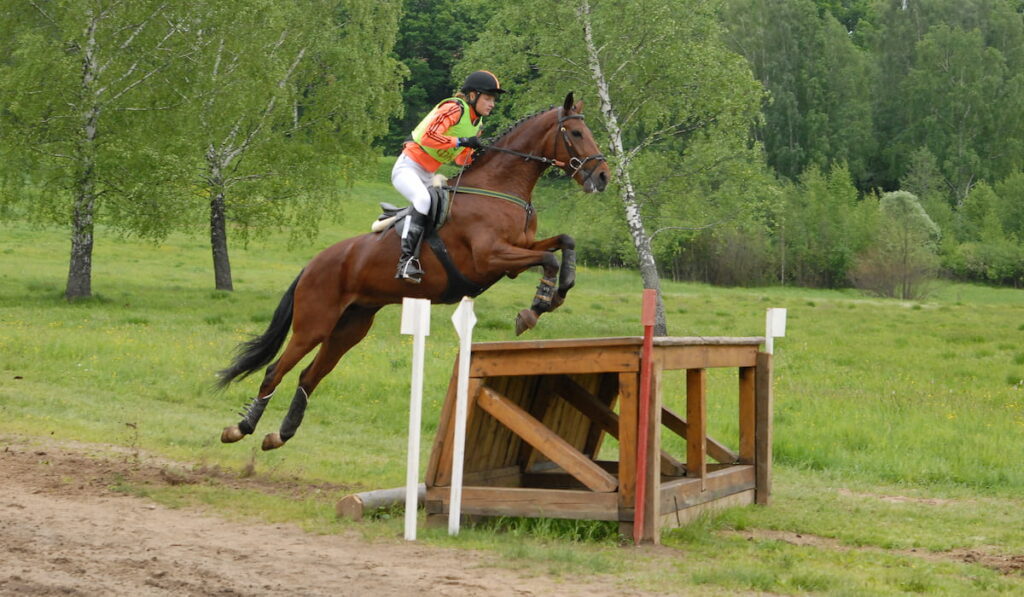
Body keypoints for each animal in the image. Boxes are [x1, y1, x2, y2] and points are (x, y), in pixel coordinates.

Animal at [218, 91, 606, 450]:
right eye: (575, 132)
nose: (602, 177)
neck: (499, 188)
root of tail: (312, 264)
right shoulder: (491, 258)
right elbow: (550, 260)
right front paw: (534, 308)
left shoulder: (521, 248)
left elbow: (565, 243)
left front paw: (557, 294)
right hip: (314, 323)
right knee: (275, 370)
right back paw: (239, 428)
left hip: (350, 326)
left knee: (308, 377)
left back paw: (279, 435)